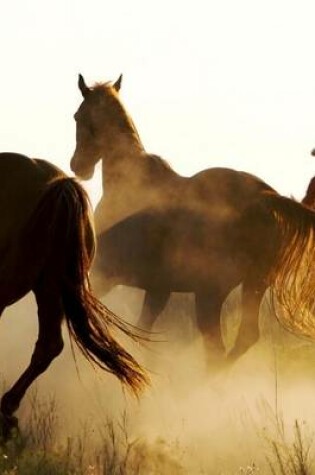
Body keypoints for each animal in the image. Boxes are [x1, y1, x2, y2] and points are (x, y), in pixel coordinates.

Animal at [70, 75, 315, 364]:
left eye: (77, 116)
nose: (78, 166)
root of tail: (266, 197)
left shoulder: (106, 274)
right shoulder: (158, 288)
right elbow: (143, 330)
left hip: (210, 293)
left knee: (218, 347)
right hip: (252, 284)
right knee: (243, 338)